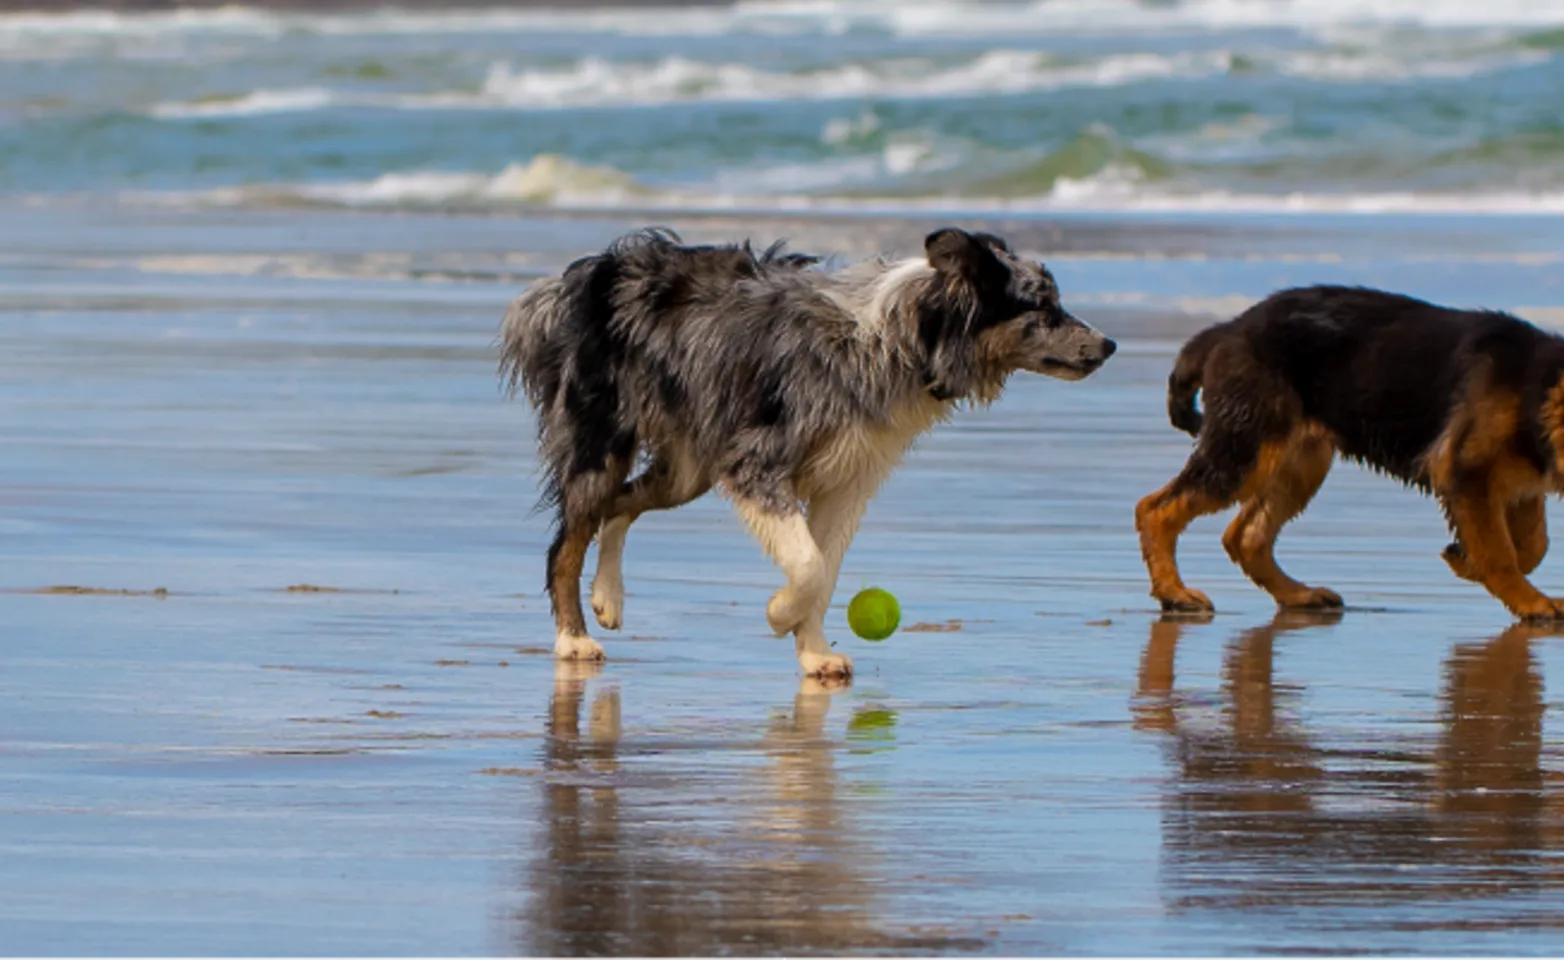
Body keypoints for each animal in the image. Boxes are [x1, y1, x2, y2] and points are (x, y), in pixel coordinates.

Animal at [1138, 281, 1564, 622]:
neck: (1537, 391)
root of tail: (1228, 329)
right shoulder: (1466, 472)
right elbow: (1502, 553)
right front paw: (1529, 601)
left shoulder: (1519, 487)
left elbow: (1531, 546)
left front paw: (1466, 560)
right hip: (1245, 454)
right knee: (1155, 508)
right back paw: (1175, 594)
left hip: (1300, 463)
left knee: (1244, 536)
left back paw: (1297, 595)